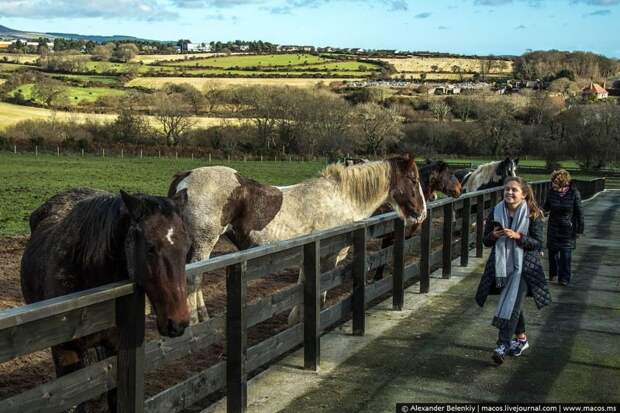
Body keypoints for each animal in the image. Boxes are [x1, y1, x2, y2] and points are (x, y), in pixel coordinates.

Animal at [167, 153, 428, 324]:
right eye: (414, 180)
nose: (422, 213)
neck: (342, 198)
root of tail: (185, 177)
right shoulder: (329, 254)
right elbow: (321, 288)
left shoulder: (311, 252)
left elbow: (304, 283)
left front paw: (296, 319)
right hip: (203, 243)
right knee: (194, 280)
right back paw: (197, 321)